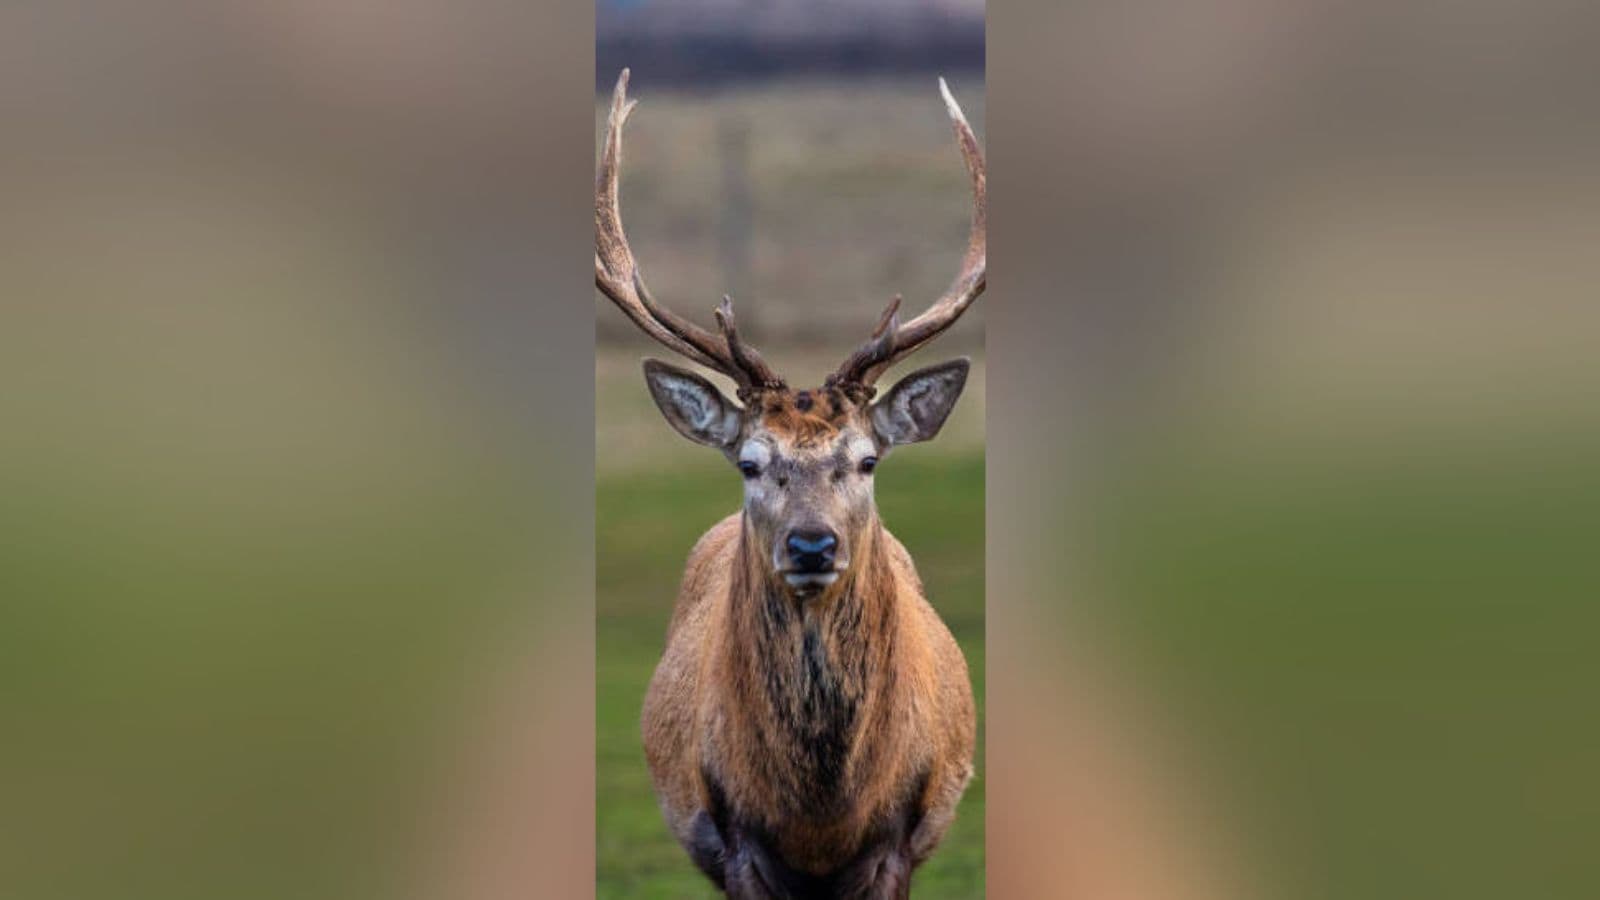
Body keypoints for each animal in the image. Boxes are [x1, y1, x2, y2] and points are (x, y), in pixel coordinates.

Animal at [595, 69, 984, 899]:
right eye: (750, 462)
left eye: (867, 460)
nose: (812, 545)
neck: (821, 816)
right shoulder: (732, 837)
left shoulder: (903, 837)